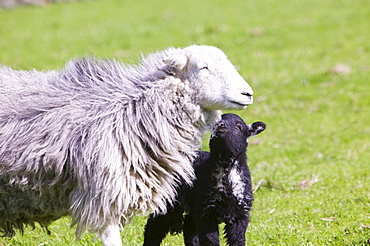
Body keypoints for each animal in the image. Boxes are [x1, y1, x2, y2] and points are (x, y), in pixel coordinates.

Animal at [142, 113, 266, 246]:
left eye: (239, 127)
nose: (220, 125)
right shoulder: (206, 211)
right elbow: (210, 240)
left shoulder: (240, 213)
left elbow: (237, 239)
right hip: (171, 201)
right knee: (155, 226)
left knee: (189, 226)